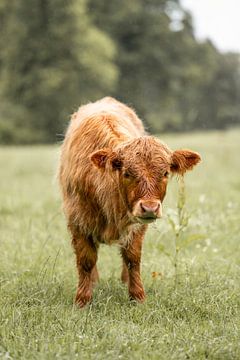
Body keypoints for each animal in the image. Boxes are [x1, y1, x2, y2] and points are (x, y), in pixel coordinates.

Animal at [58, 97, 201, 306]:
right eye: (127, 173)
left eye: (165, 173)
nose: (149, 207)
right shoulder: (78, 219)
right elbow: (86, 260)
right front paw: (82, 300)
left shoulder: (137, 225)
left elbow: (133, 258)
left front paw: (137, 296)